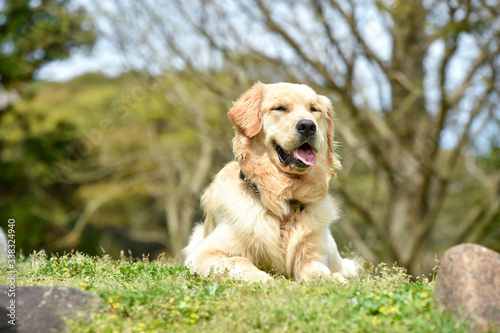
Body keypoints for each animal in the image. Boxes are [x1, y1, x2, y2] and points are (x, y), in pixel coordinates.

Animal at [183, 82, 360, 280]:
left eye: (314, 109)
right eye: (280, 108)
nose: (308, 126)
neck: (282, 199)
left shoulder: (311, 255)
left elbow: (317, 270)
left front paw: (330, 279)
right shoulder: (204, 253)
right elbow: (240, 260)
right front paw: (262, 278)